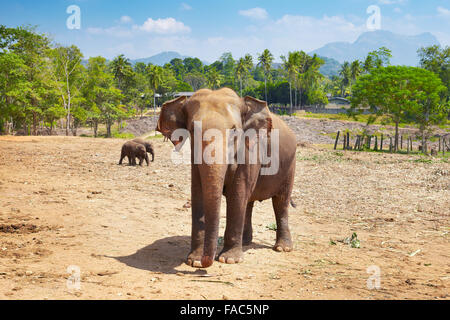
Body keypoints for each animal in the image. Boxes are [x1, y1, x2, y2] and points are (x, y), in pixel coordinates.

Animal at [156, 89, 298, 268]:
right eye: (193, 129)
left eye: (234, 131)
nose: (205, 263)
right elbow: (199, 194)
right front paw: (194, 260)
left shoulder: (249, 152)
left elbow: (237, 195)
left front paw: (229, 259)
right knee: (249, 203)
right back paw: (246, 242)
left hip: (290, 166)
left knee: (280, 202)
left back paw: (282, 248)